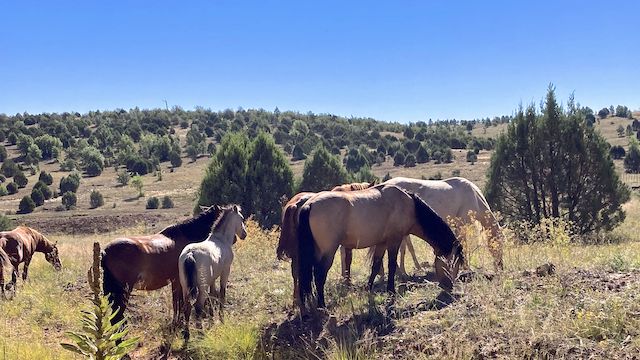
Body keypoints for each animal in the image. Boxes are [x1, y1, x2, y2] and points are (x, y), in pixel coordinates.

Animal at [179, 204, 246, 338]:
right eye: (241, 218)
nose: (244, 234)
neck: (221, 240)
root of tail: (190, 254)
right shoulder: (225, 272)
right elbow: (222, 294)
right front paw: (221, 319)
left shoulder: (212, 279)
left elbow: (213, 295)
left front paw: (212, 318)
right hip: (201, 288)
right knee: (198, 306)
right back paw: (200, 332)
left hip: (185, 287)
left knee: (187, 307)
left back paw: (187, 334)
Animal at [298, 184, 462, 308]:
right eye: (453, 263)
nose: (450, 286)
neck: (408, 205)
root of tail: (310, 204)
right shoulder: (394, 240)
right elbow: (391, 265)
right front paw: (391, 291)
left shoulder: (381, 243)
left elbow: (376, 266)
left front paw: (369, 289)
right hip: (328, 251)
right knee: (319, 275)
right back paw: (321, 304)